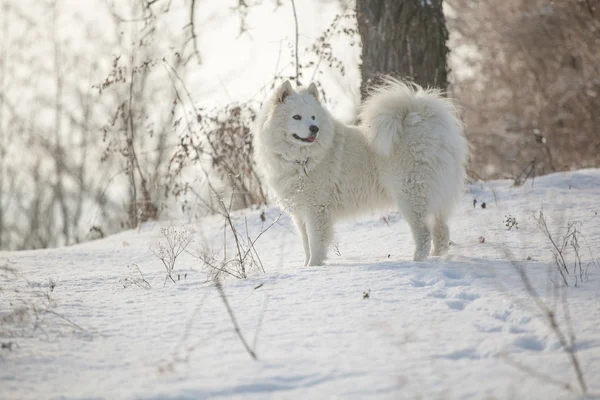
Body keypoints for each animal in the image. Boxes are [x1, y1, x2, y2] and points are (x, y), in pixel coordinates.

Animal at [252, 78, 468, 266]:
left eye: (313, 117)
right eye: (296, 117)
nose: (314, 128)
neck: (303, 159)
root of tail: (423, 122)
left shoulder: (316, 210)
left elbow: (315, 244)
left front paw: (314, 267)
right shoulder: (300, 214)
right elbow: (306, 245)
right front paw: (306, 268)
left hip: (410, 196)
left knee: (423, 234)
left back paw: (417, 262)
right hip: (433, 197)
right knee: (441, 230)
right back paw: (437, 257)